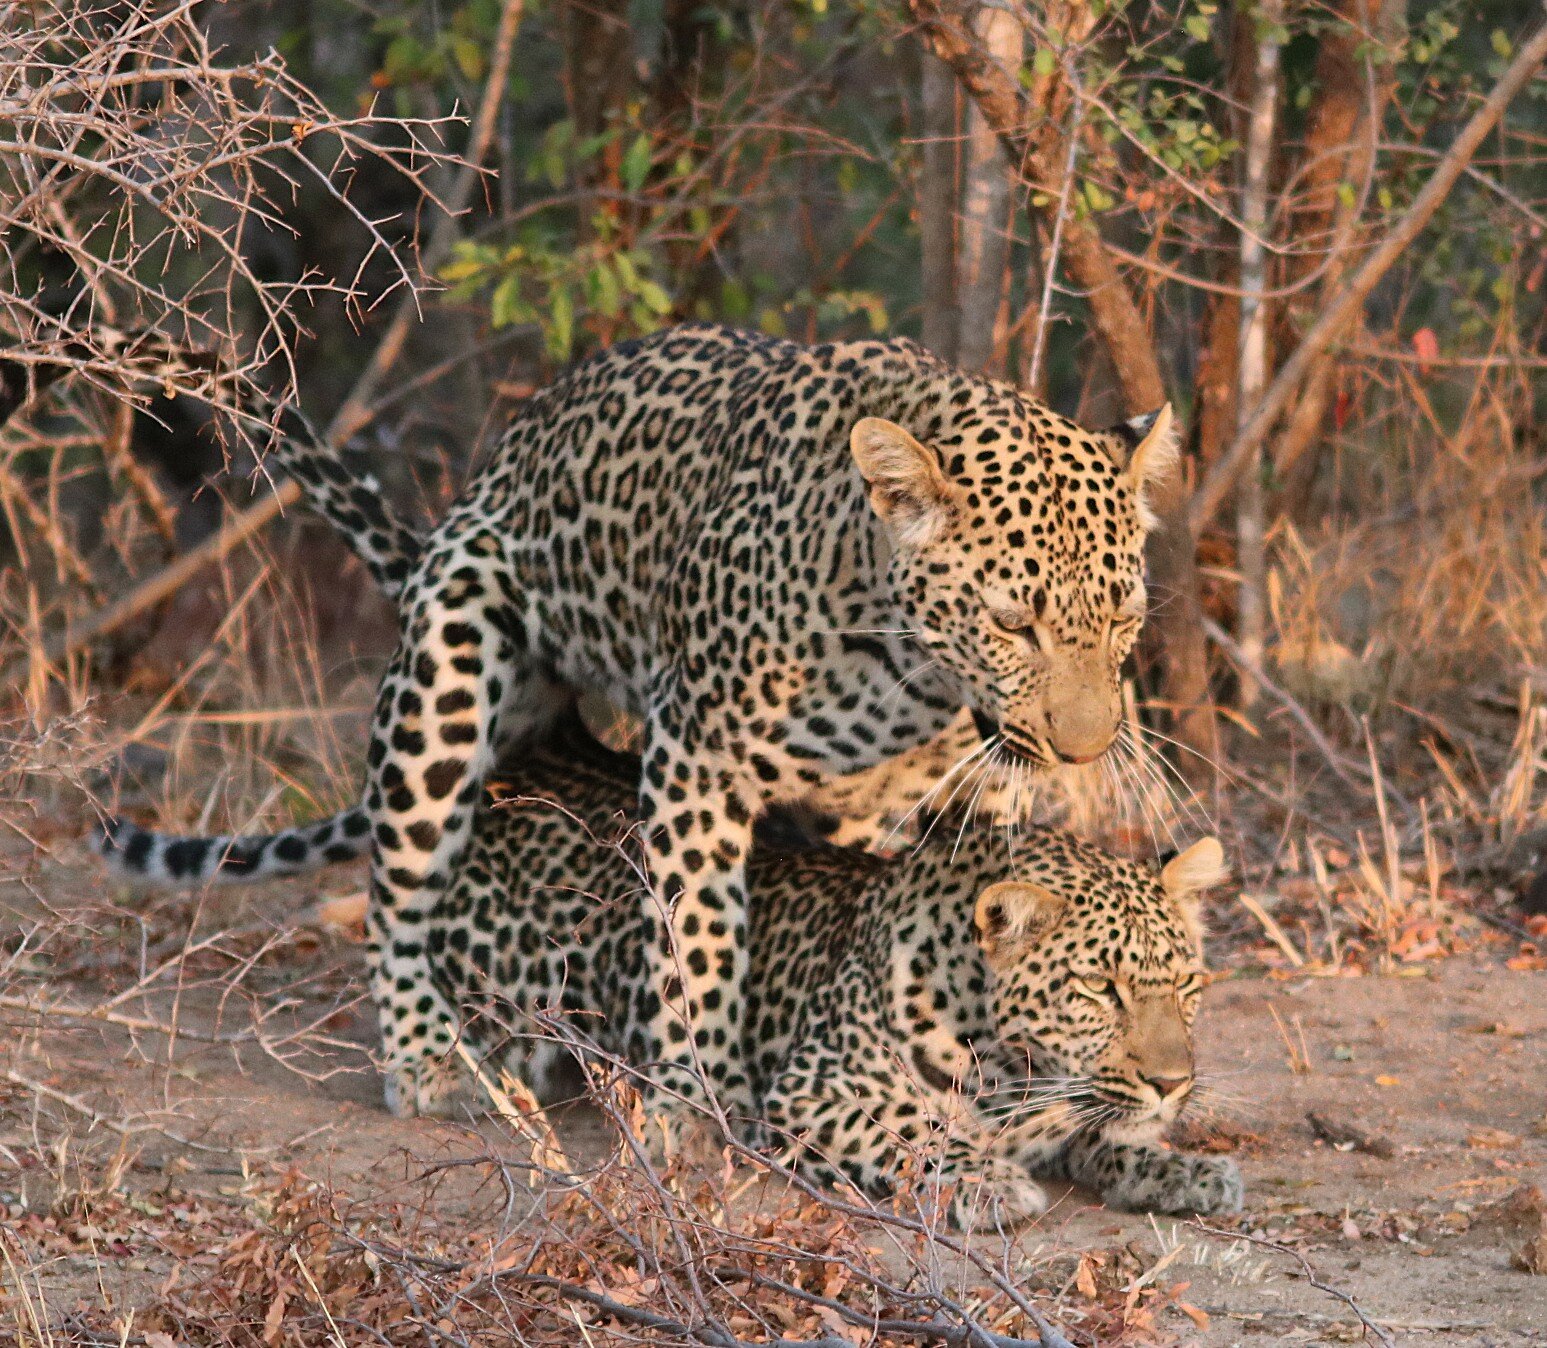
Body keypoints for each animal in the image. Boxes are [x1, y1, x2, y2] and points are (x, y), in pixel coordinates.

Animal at [99, 322, 1183, 1124]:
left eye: (1123, 615)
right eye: (1011, 623)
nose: (1084, 748)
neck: (903, 667)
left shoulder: (892, 807)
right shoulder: (700, 754)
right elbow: (699, 941)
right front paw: (695, 1108)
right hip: (448, 671)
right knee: (397, 894)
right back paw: (427, 1061)